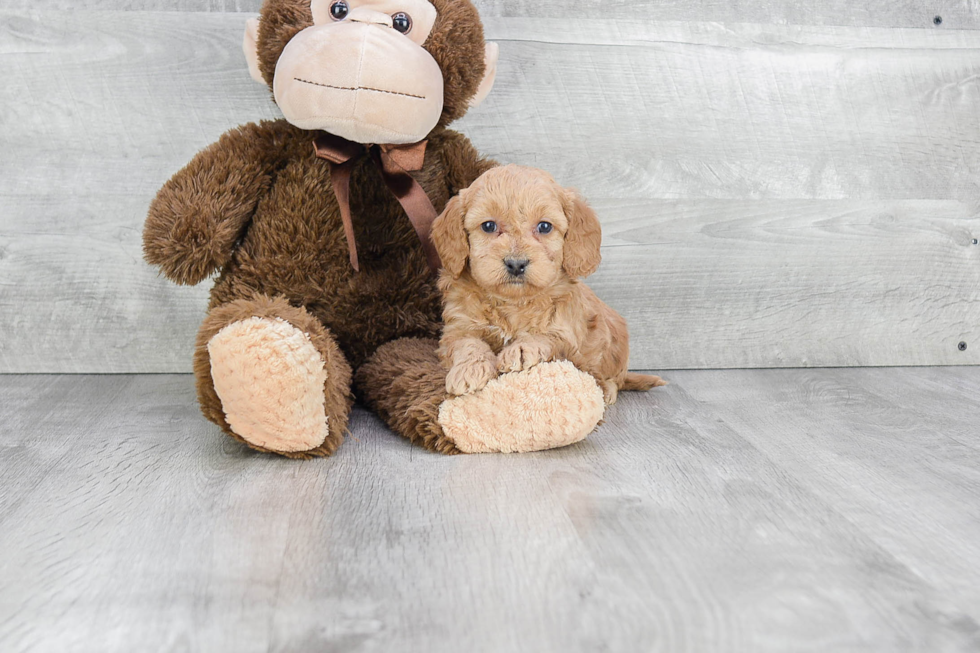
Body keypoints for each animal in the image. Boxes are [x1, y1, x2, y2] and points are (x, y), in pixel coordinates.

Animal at [434, 163, 668, 402]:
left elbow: (546, 337)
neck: (513, 303)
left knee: (615, 379)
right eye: (488, 226)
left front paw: (521, 349)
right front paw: (469, 369)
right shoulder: (457, 327)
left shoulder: (567, 334)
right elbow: (467, 342)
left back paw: (609, 390)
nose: (516, 264)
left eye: (544, 227)